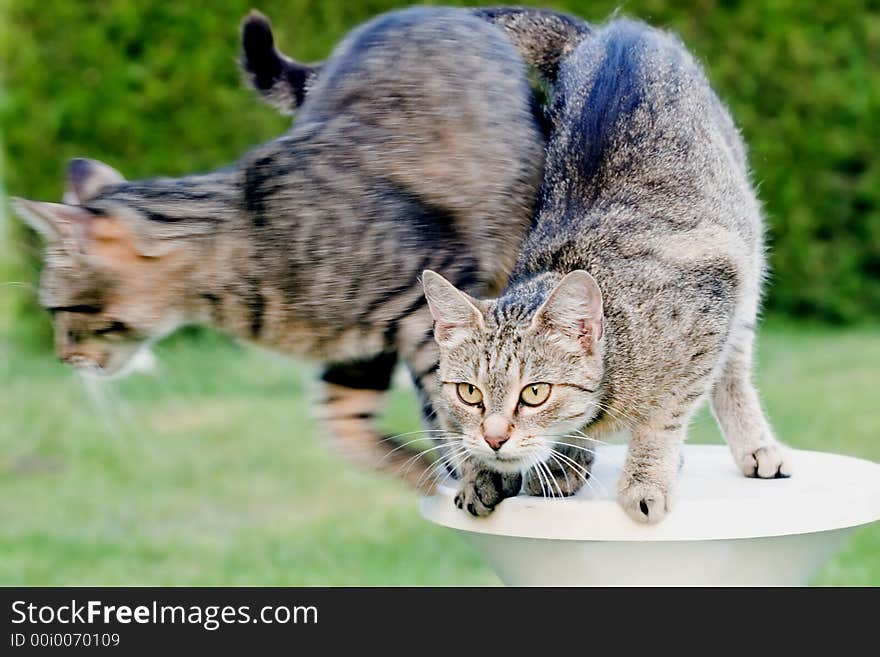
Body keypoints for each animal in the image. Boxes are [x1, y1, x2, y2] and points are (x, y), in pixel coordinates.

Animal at [420, 18, 792, 520]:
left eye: (535, 393)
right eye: (469, 394)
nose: (495, 438)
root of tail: (618, 31)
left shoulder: (710, 302)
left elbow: (665, 414)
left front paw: (645, 479)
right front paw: (492, 472)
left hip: (747, 258)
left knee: (732, 372)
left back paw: (755, 446)